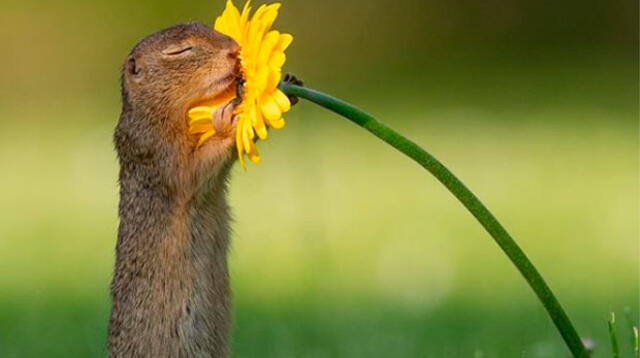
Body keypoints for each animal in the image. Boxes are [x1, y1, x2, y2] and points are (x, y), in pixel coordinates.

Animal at [107, 22, 300, 358]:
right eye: (180, 51)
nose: (234, 50)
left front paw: (286, 83)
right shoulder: (159, 152)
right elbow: (195, 170)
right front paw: (233, 115)